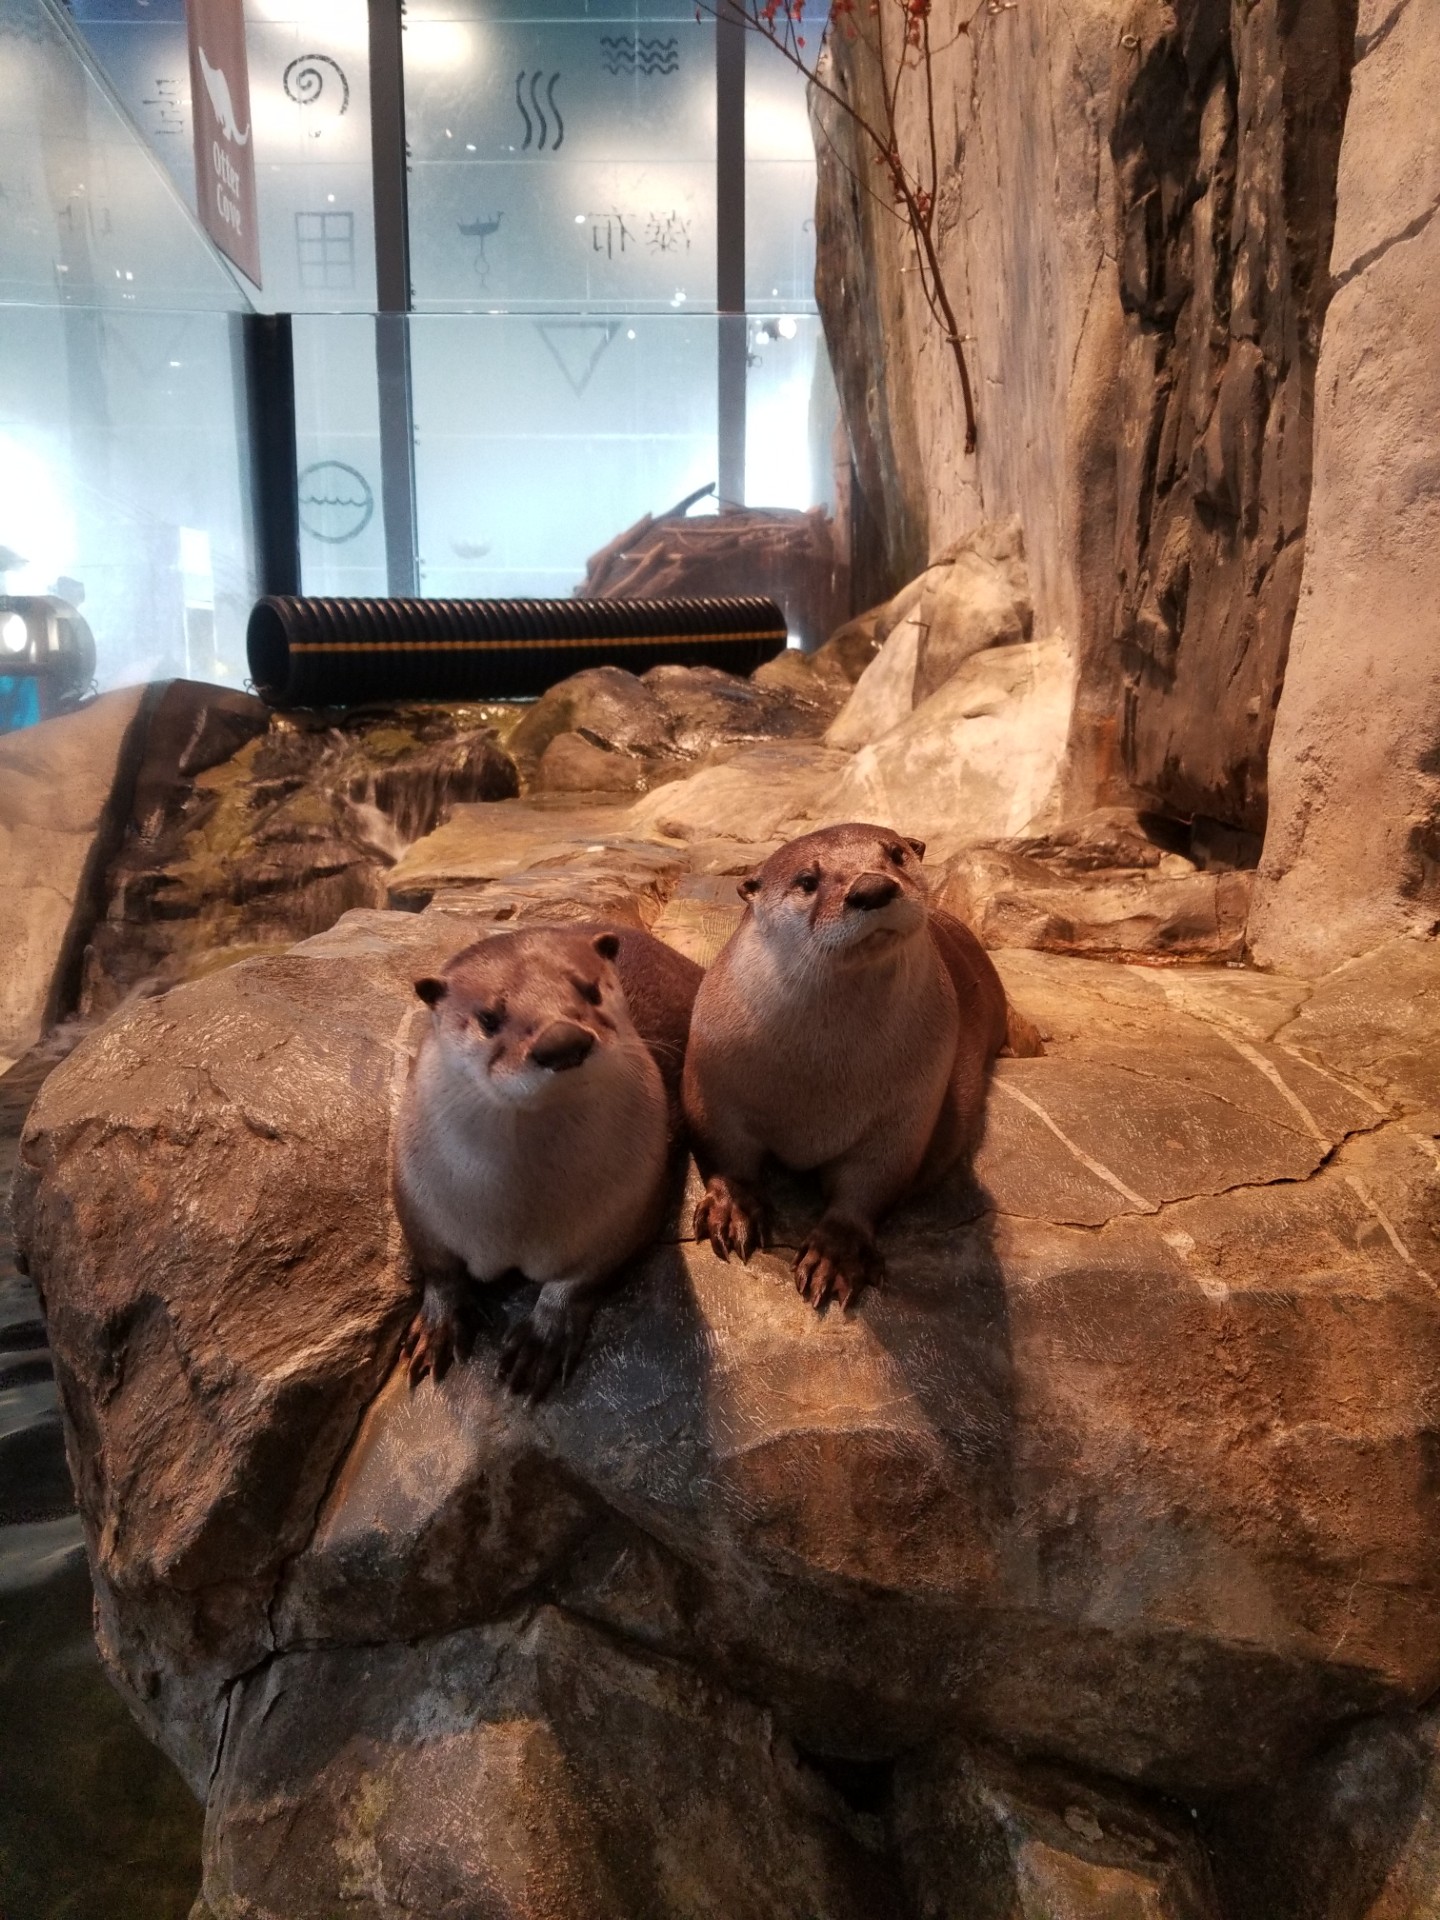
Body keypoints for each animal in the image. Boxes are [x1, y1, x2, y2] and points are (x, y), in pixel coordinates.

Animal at [395, 924, 701, 1398]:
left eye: (591, 990)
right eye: (488, 1018)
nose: (562, 1041)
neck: (521, 1214)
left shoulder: (627, 1211)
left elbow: (578, 1280)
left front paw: (543, 1337)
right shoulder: (417, 1196)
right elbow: (439, 1267)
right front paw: (439, 1323)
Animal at [683, 822, 1041, 1309]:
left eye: (896, 854)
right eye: (808, 880)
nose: (872, 888)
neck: (818, 1080)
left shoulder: (906, 1114)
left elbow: (869, 1185)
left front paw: (834, 1252)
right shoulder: (712, 1081)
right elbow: (725, 1151)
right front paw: (732, 1207)